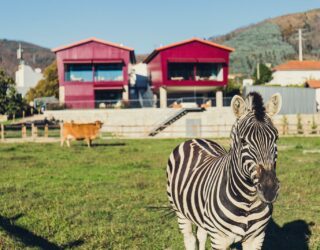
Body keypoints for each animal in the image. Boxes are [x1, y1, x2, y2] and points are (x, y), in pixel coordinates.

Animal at [166, 93, 282, 249]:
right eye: (243, 141)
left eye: (276, 138)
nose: (269, 190)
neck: (248, 200)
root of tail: (195, 139)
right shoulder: (219, 239)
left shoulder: (256, 238)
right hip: (180, 212)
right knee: (190, 238)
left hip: (201, 216)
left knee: (201, 235)